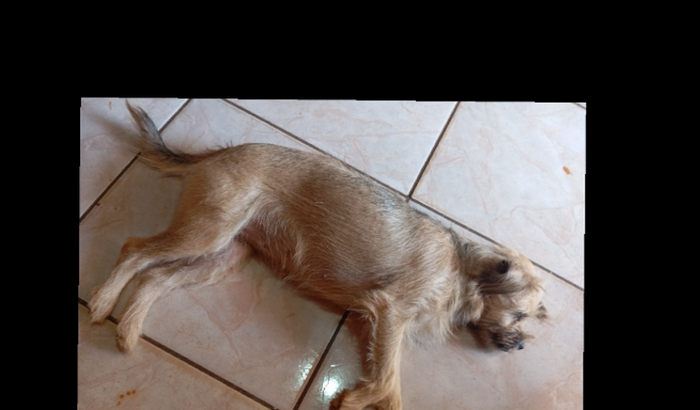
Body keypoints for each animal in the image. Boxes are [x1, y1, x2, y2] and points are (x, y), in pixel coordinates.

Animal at [88, 102, 547, 410]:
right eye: (519, 315)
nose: (523, 346)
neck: (461, 271)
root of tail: (219, 153)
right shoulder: (391, 311)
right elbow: (385, 381)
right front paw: (353, 399)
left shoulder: (382, 323)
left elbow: (392, 388)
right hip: (205, 233)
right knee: (134, 250)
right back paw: (101, 303)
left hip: (222, 257)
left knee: (154, 277)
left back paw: (128, 330)